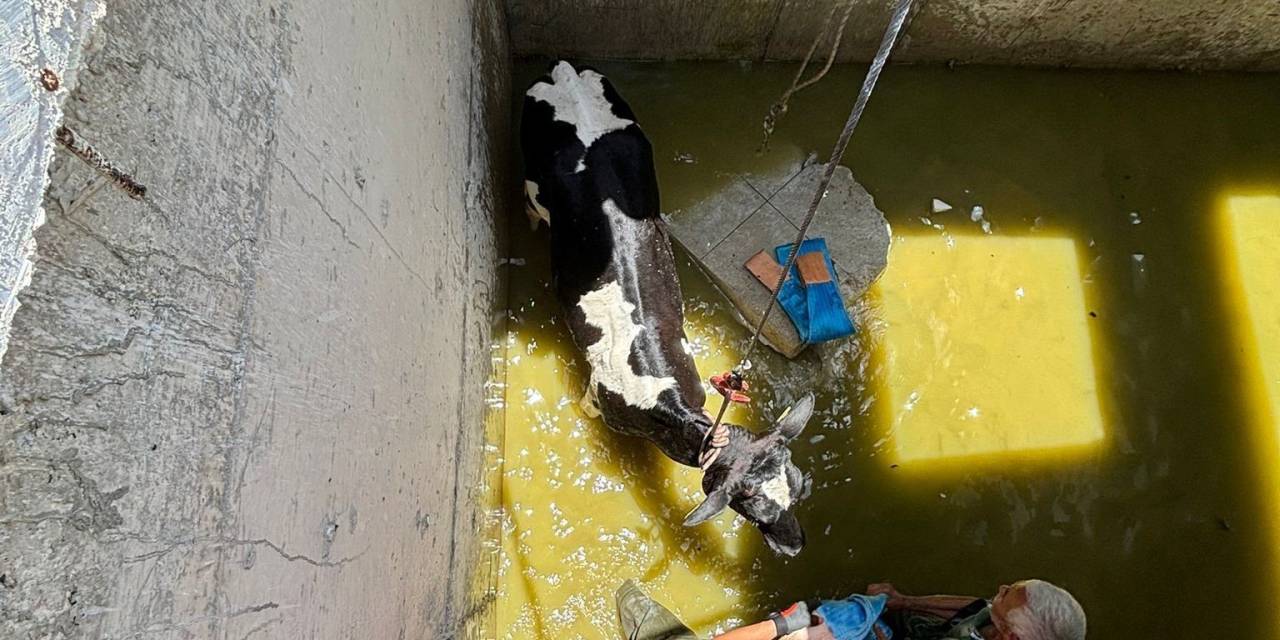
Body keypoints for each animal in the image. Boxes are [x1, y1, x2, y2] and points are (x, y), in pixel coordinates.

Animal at [517, 62, 808, 558]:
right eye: (756, 513)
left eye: (800, 485)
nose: (797, 546)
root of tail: (565, 71)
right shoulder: (596, 402)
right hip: (530, 175)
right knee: (530, 201)